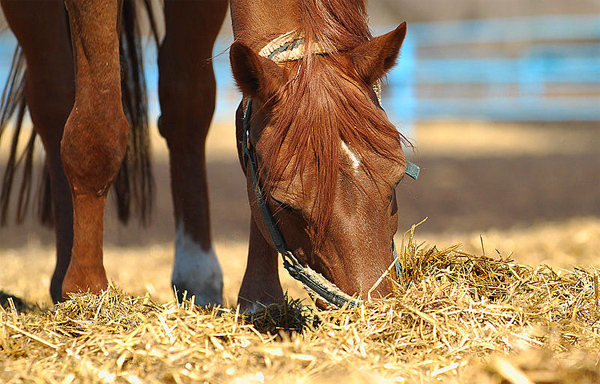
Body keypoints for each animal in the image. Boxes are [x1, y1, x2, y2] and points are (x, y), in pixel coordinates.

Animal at [0, 0, 410, 310]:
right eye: (284, 203)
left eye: (397, 180)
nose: (375, 307)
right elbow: (97, 134)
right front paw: (87, 290)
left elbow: (198, 108)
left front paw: (259, 298)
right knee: (53, 99)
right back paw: (65, 278)